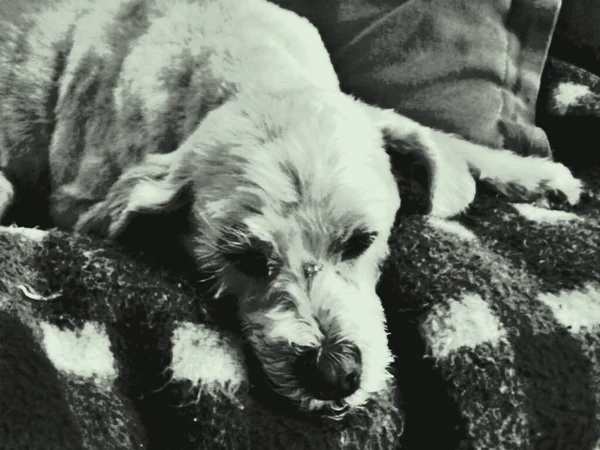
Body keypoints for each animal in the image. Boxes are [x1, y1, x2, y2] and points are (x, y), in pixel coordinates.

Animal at [0, 0, 580, 414]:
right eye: (245, 259)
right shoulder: (77, 194)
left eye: (362, 241)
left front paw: (535, 175)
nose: (334, 375)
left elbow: (445, 139)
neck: (249, 71)